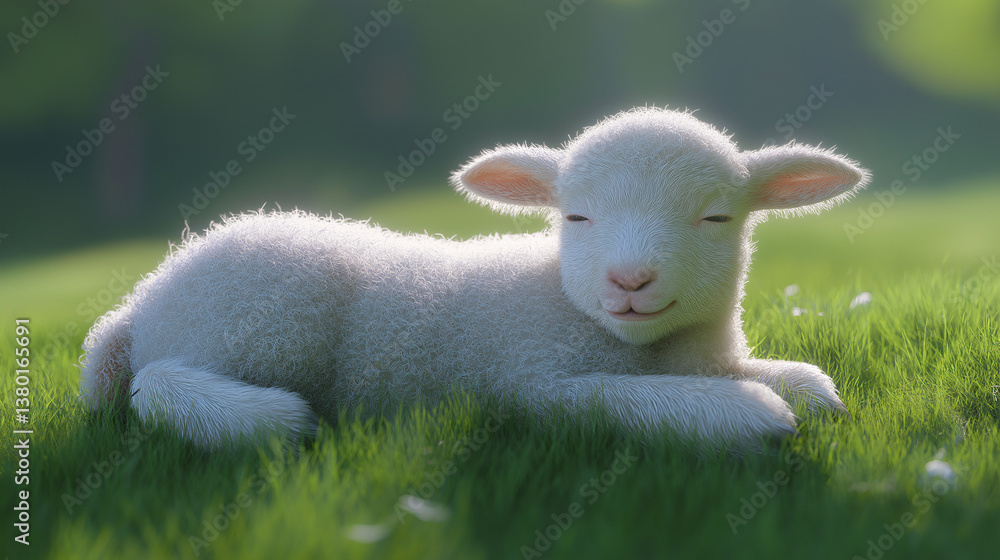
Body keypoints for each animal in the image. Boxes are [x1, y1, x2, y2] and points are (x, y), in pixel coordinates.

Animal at [80, 107, 870, 452]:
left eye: (716, 217)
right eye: (575, 214)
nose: (630, 279)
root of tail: (142, 302)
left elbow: (808, 382)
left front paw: (801, 390)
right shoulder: (531, 383)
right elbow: (635, 401)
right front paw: (750, 415)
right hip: (254, 323)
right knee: (158, 387)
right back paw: (270, 419)